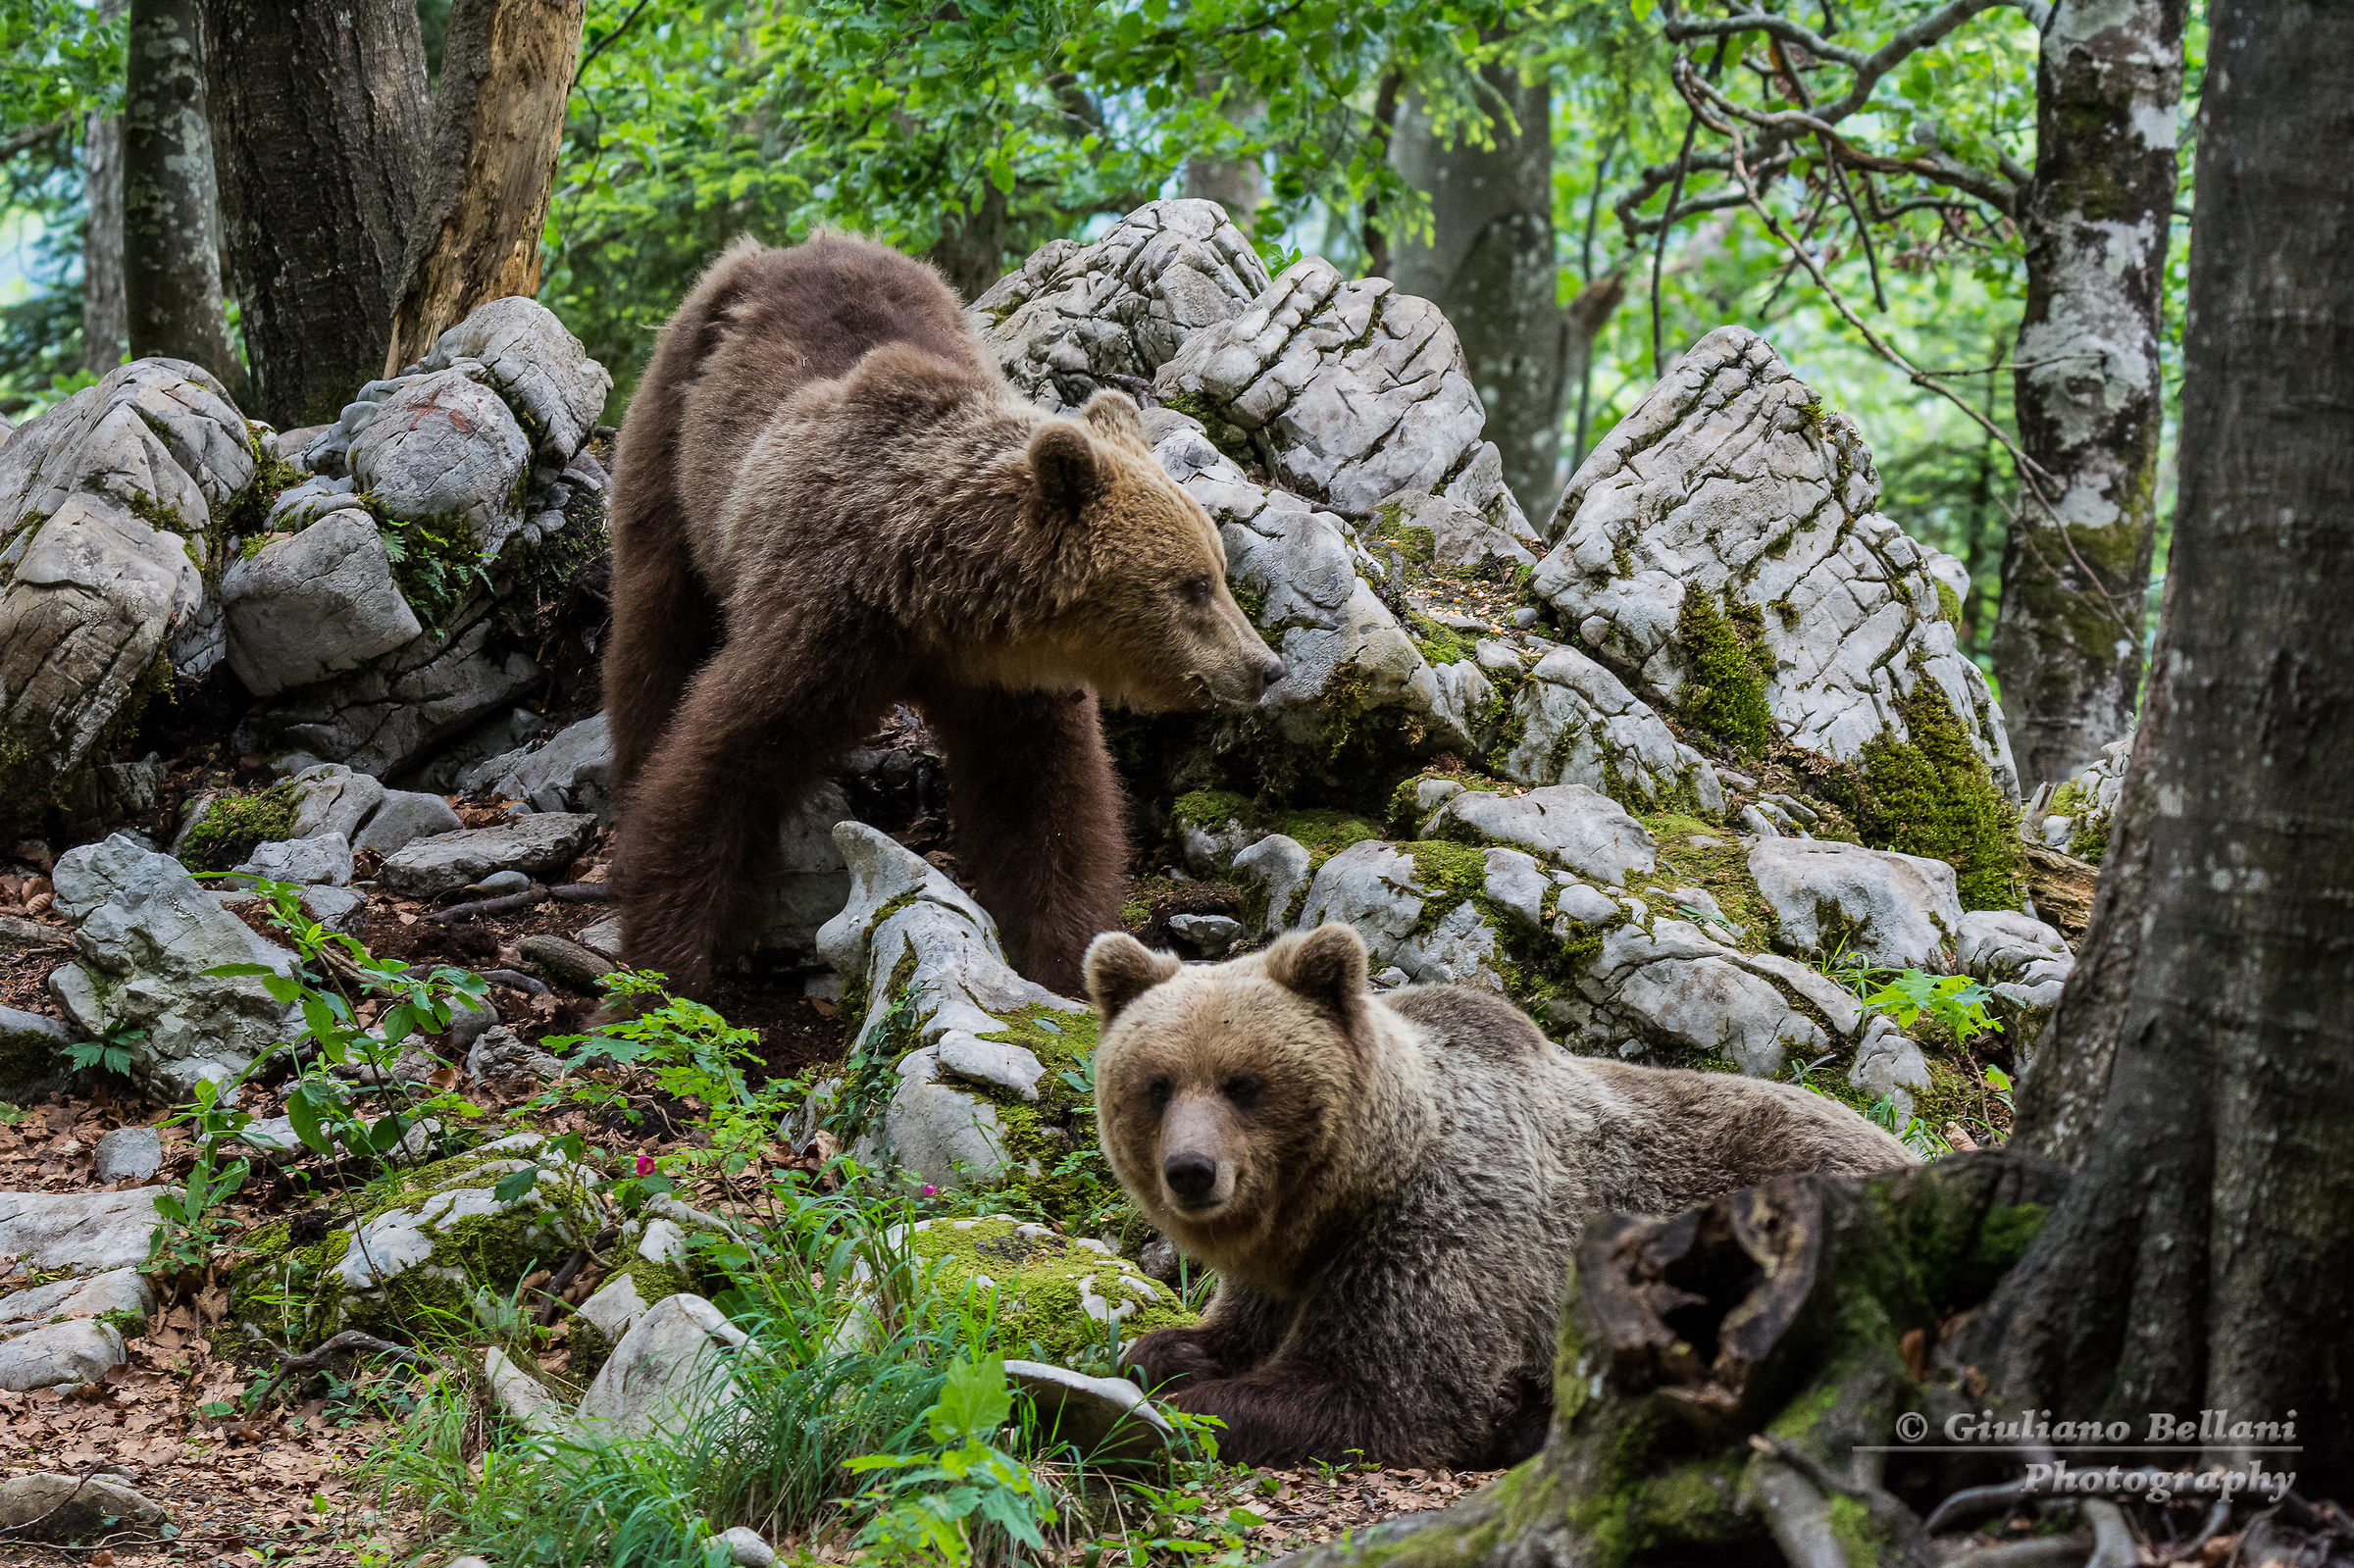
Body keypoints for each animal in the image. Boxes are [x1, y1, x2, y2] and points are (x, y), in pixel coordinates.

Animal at [602, 232, 1284, 996]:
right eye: (1193, 585)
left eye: (1220, 569)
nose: (1264, 666)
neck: (932, 598)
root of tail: (780, 247)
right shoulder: (824, 626)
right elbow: (720, 769)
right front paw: (658, 969)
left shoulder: (1008, 680)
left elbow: (1048, 807)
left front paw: (1063, 961)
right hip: (677, 425)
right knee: (656, 619)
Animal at [1082, 922, 1915, 1469]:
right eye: (1158, 1083)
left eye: (1244, 1082)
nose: (1192, 1169)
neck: (1343, 1196)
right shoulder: (1285, 1268)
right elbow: (1234, 1330)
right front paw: (1163, 1352)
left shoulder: (1446, 1230)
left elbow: (1378, 1391)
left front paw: (1174, 1411)